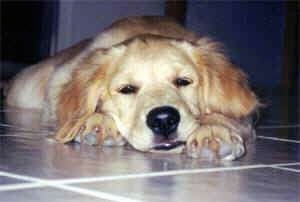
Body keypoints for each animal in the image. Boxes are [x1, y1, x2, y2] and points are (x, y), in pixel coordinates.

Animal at [5, 16, 258, 160]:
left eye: (183, 82)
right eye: (127, 89)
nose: (164, 120)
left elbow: (225, 115)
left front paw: (213, 131)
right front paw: (99, 122)